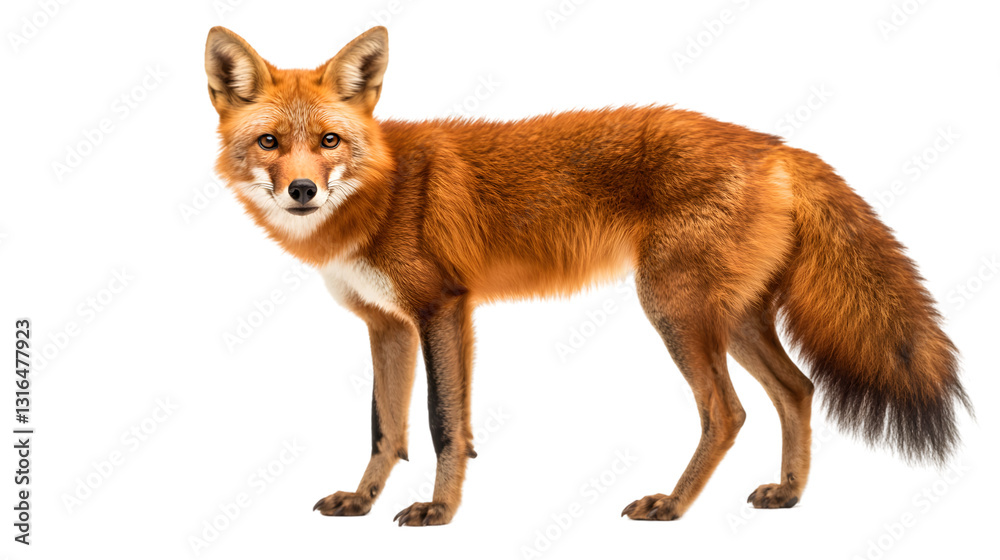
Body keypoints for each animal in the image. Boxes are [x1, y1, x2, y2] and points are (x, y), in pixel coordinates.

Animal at [204, 26, 970, 526]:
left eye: (329, 141)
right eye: (270, 142)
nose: (302, 190)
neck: (382, 190)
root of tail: (777, 145)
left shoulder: (443, 308)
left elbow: (444, 424)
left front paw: (441, 511)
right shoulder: (387, 325)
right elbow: (385, 431)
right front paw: (363, 501)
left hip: (673, 309)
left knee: (727, 412)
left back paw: (674, 505)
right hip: (731, 319)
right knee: (798, 390)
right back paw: (788, 495)